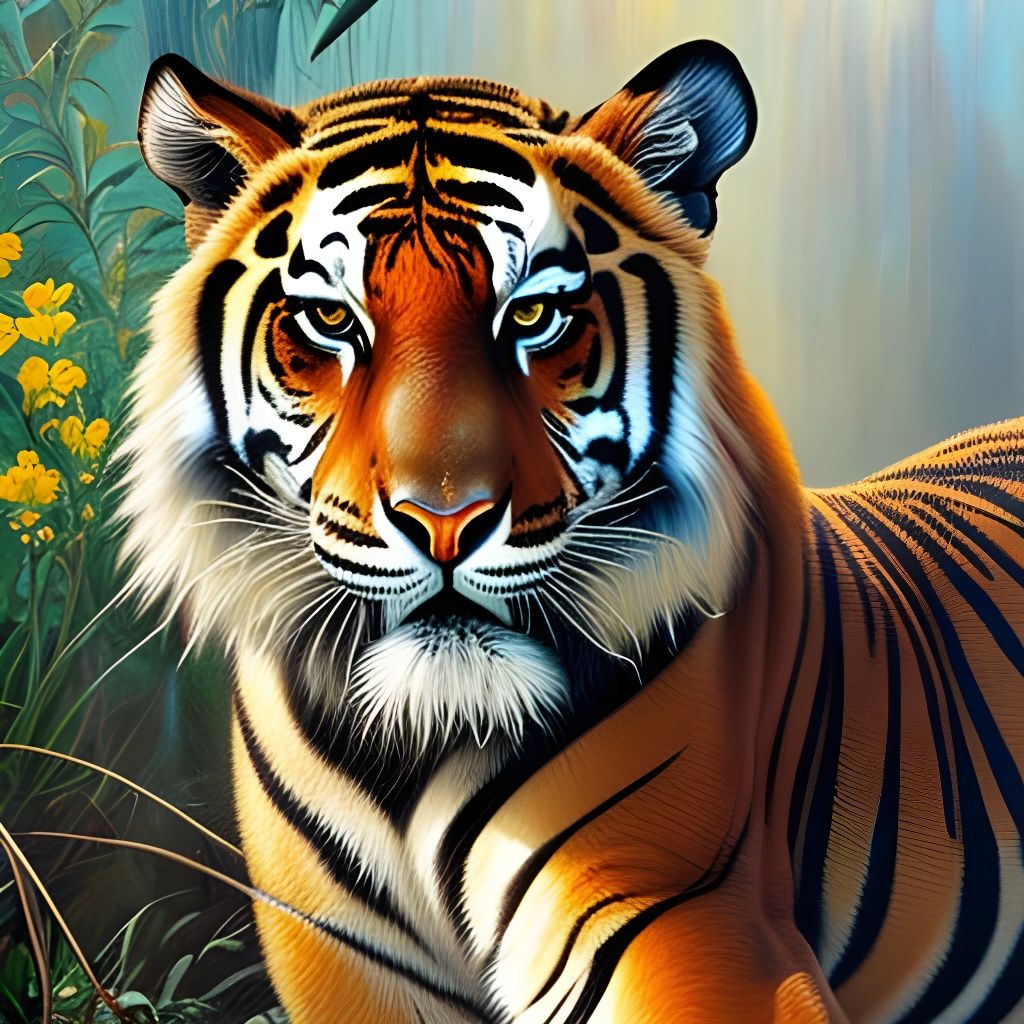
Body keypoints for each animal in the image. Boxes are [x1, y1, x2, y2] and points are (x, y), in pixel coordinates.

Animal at [118, 39, 1024, 1023]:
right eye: (330, 318)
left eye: (531, 314)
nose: (444, 521)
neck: (409, 748)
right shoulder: (343, 966)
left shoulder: (691, 919)